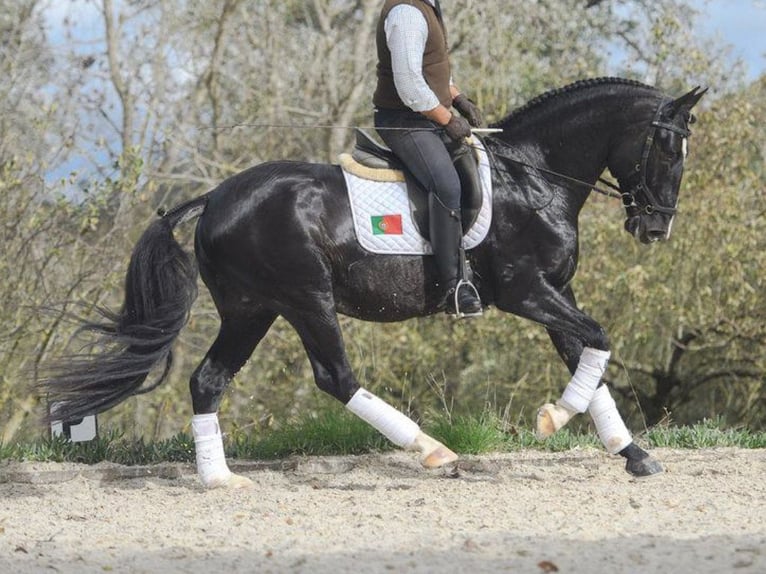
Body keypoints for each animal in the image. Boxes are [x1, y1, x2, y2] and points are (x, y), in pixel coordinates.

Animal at [42, 77, 708, 490]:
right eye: (665, 147)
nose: (655, 227)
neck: (534, 176)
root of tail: (215, 197)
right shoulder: (527, 293)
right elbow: (598, 339)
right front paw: (553, 419)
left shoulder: (555, 293)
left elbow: (587, 352)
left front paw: (632, 454)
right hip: (306, 298)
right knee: (335, 378)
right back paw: (433, 450)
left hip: (252, 309)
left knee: (208, 380)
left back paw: (219, 479)